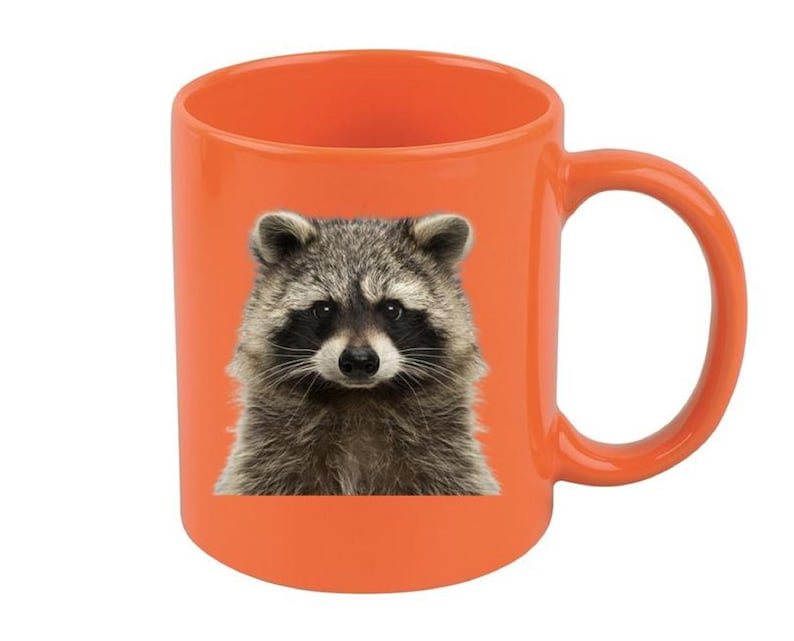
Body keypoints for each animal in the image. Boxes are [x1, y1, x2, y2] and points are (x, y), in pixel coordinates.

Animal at [215, 211, 499, 495]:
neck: (358, 398)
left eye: (392, 308)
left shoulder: (447, 460)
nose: (359, 360)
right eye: (324, 309)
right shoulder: (267, 459)